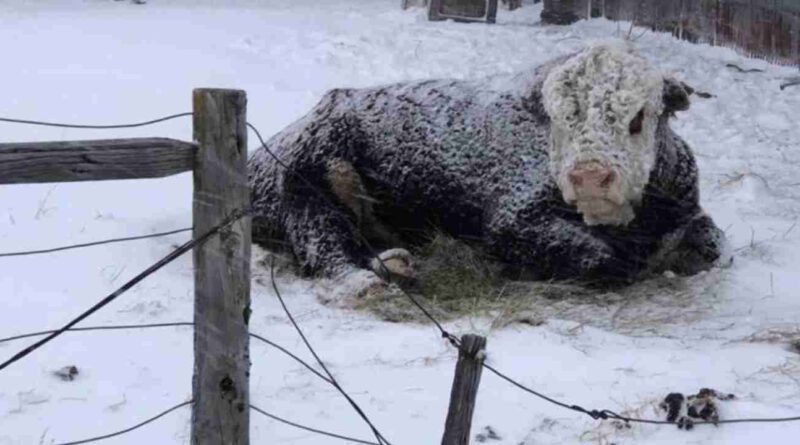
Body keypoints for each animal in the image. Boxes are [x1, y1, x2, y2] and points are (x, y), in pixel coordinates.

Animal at [247, 43, 720, 286]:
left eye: (638, 116)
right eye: (560, 117)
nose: (588, 177)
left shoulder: (690, 211)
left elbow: (712, 245)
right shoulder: (511, 223)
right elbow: (602, 259)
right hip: (310, 184)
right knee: (327, 250)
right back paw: (375, 279)